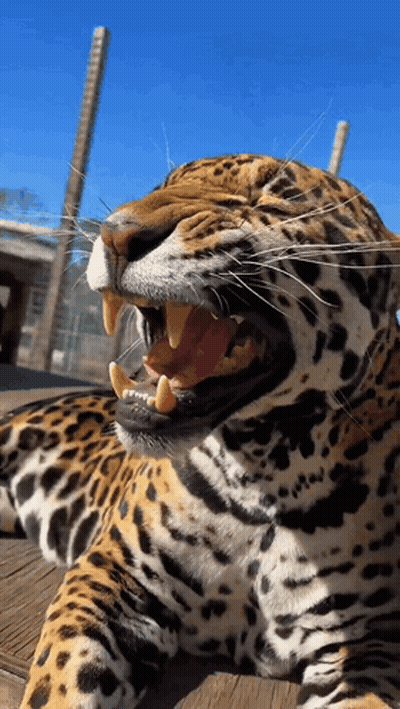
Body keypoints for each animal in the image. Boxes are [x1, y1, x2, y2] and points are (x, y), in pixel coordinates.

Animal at [2, 153, 400, 709]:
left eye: (275, 195)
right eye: (163, 184)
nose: (116, 234)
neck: (268, 471)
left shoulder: (371, 644)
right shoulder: (114, 571)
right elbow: (61, 683)